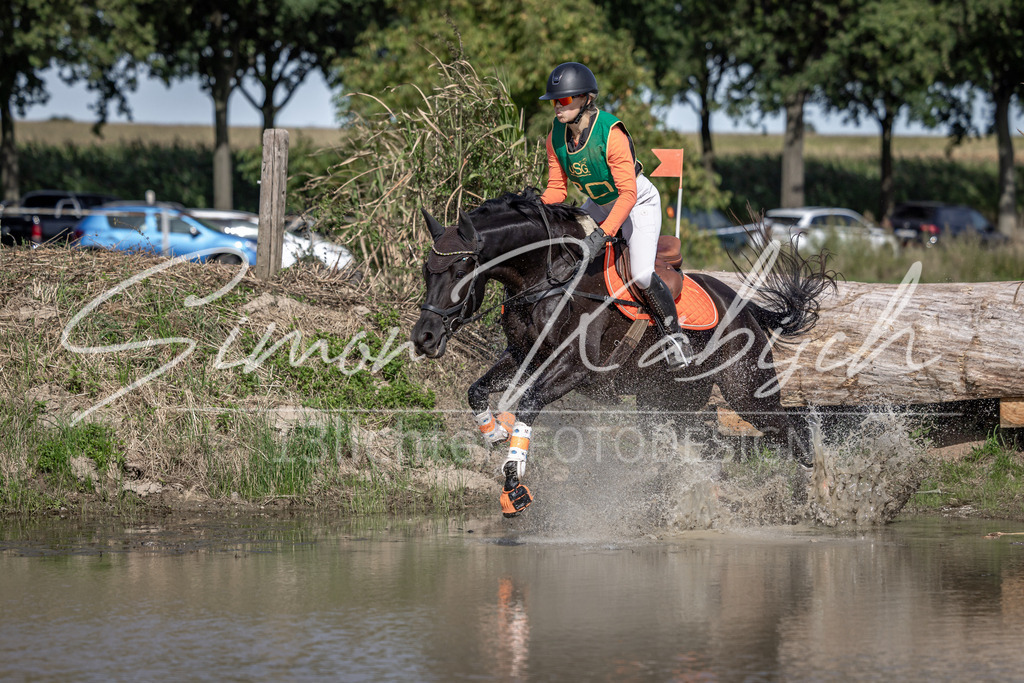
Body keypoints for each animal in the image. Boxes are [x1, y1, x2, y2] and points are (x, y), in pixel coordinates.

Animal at [411, 188, 836, 515]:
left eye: (459, 271)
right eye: (426, 271)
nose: (424, 337)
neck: (547, 277)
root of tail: (745, 305)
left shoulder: (573, 366)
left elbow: (528, 404)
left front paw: (514, 483)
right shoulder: (522, 355)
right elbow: (476, 390)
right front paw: (495, 433)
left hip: (746, 391)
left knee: (792, 430)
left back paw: (822, 491)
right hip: (667, 403)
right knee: (711, 443)